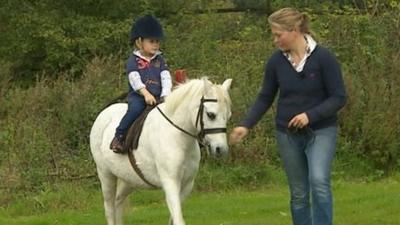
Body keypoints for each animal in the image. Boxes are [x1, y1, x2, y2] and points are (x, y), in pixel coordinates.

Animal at [90, 78, 231, 225]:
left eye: (228, 116)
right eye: (211, 115)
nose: (221, 149)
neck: (178, 137)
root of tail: (104, 112)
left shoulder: (187, 184)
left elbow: (174, 218)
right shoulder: (170, 182)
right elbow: (178, 218)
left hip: (128, 179)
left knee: (118, 201)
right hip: (105, 174)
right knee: (109, 208)